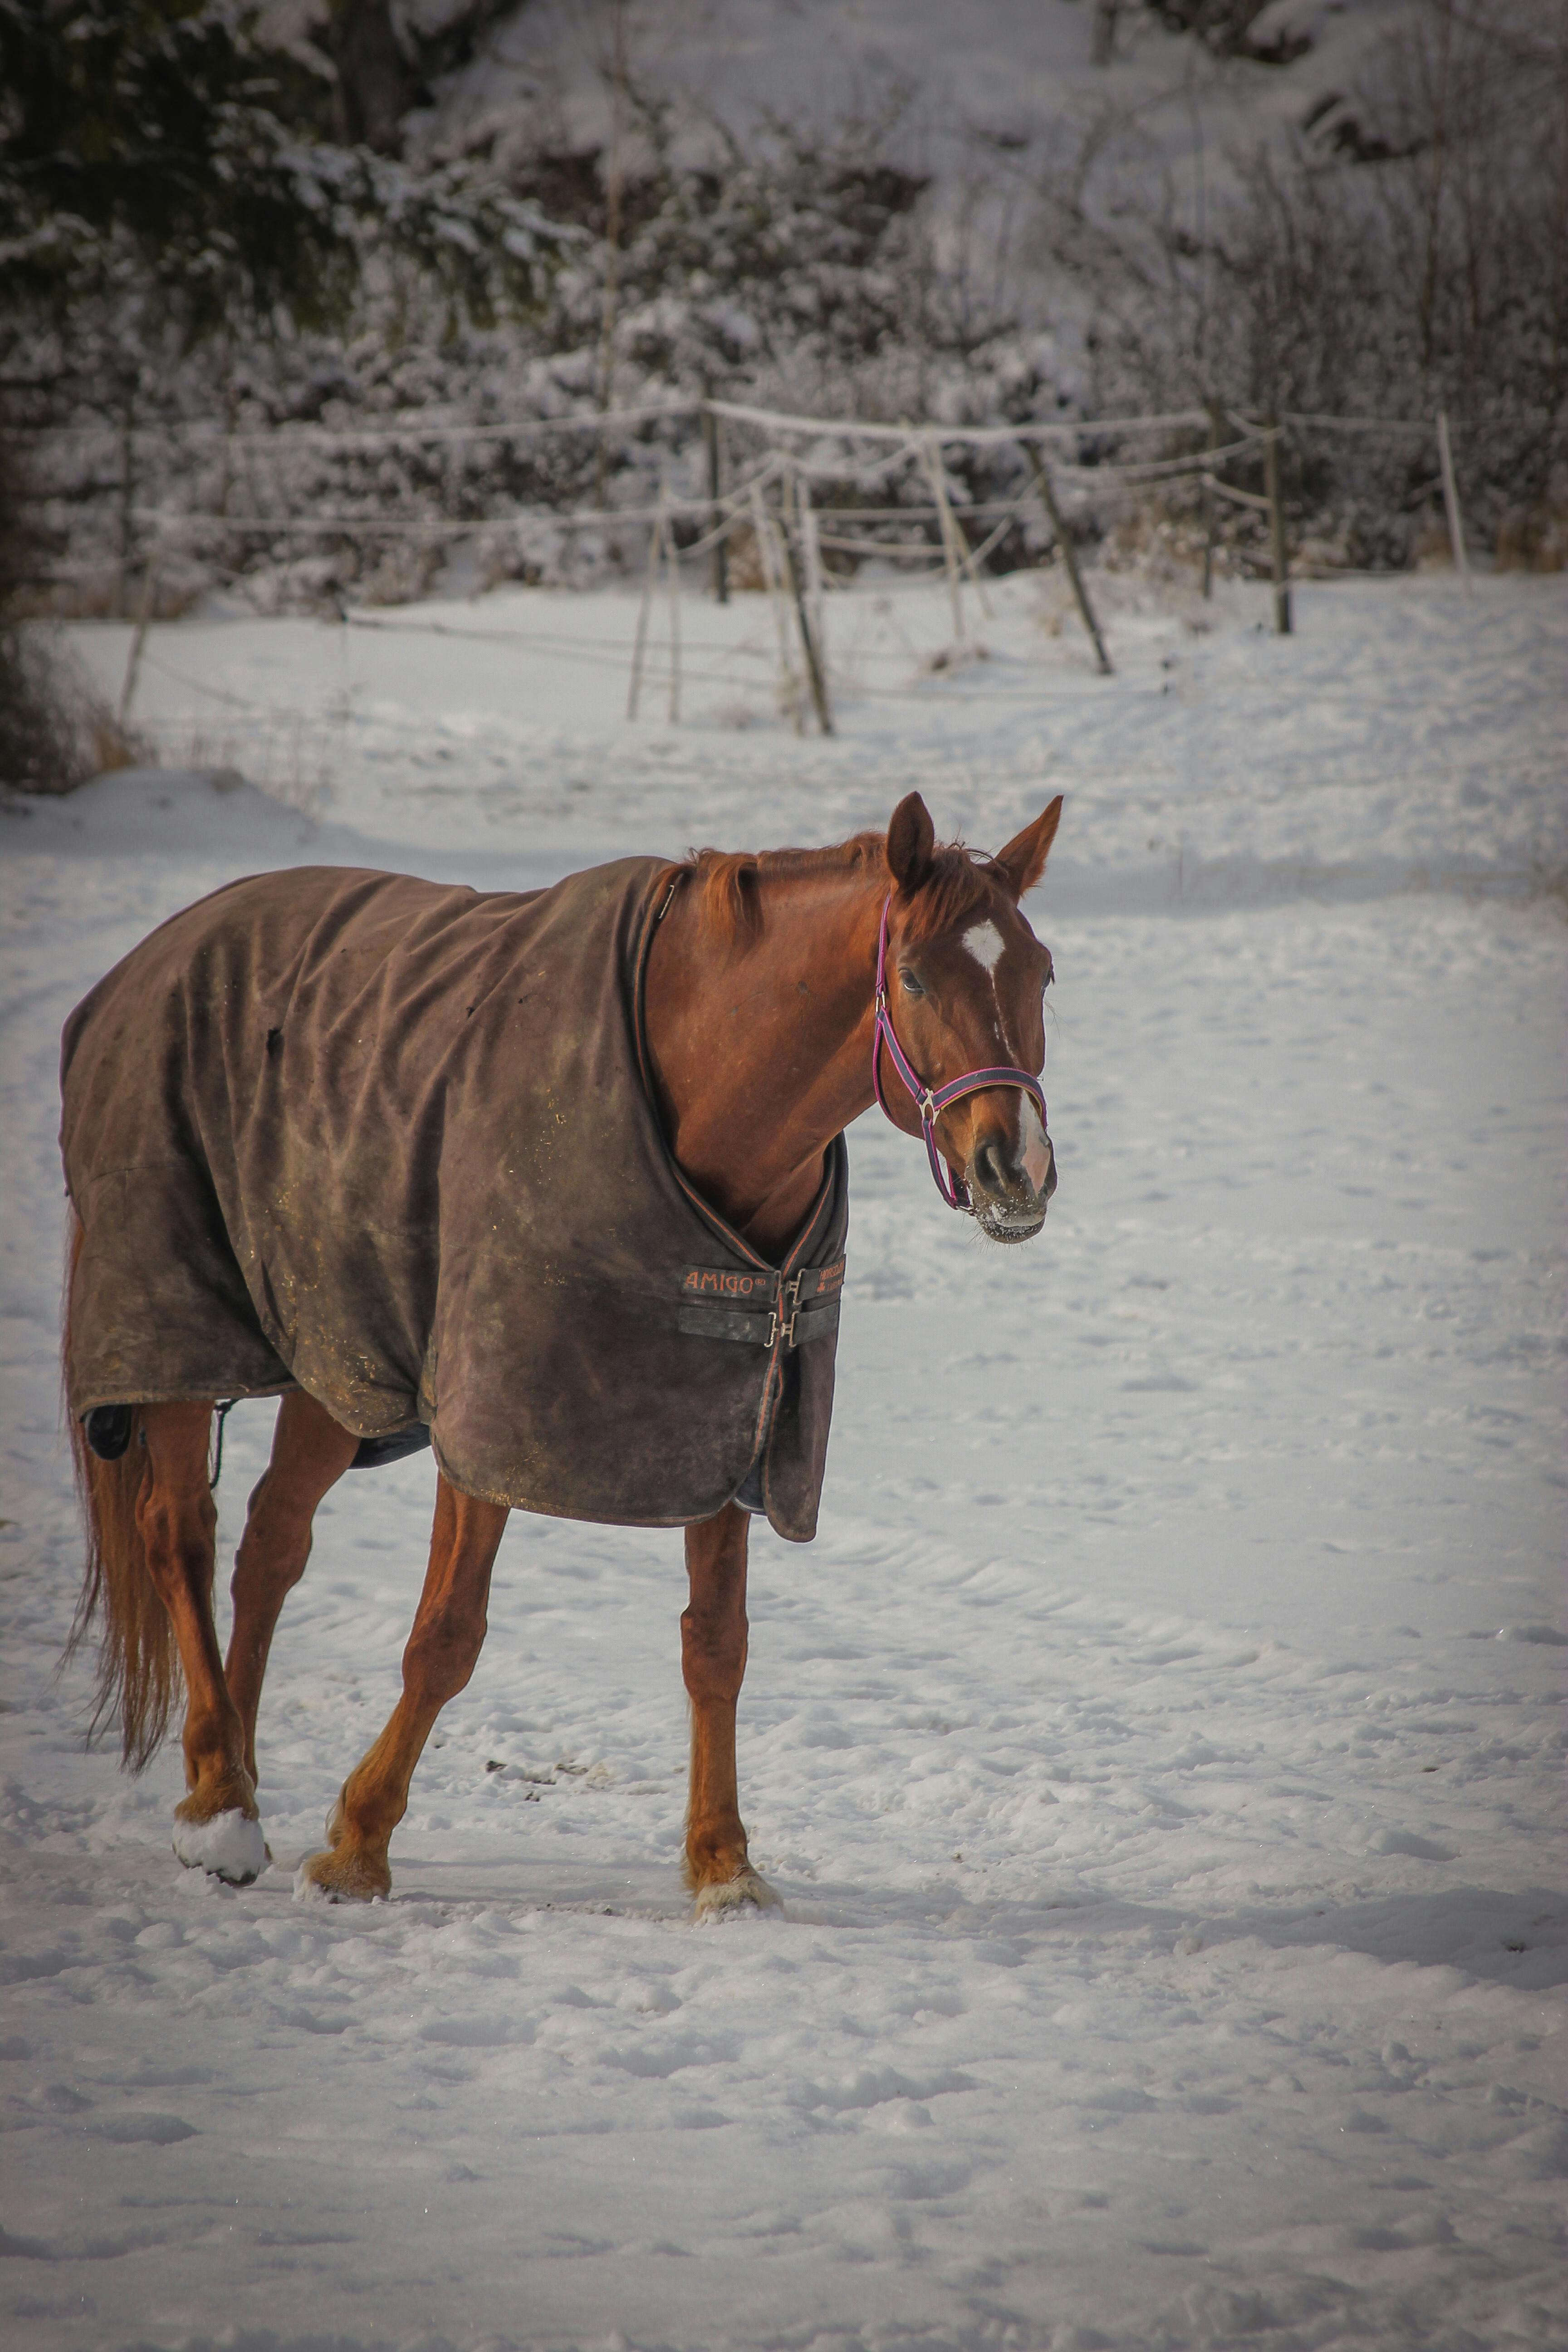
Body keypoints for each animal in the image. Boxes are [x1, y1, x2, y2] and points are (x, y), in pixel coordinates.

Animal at [61, 788, 1062, 1914]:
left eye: (1041, 973)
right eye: (918, 976)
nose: (1018, 1168)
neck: (693, 1086)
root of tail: (161, 948)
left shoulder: (728, 1415)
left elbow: (718, 1646)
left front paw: (724, 1864)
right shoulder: (492, 1424)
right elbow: (446, 1636)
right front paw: (359, 1845)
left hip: (337, 1352)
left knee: (271, 1545)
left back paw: (235, 1766)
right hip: (172, 1333)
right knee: (178, 1533)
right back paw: (219, 1805)